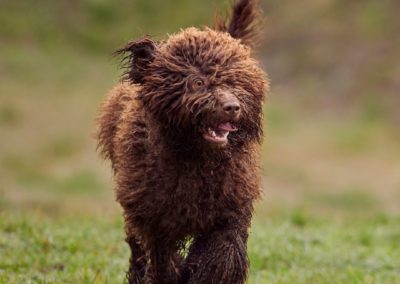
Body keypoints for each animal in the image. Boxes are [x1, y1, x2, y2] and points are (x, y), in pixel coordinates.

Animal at [97, 1, 268, 282]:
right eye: (197, 82)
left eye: (235, 82)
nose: (232, 107)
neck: (196, 160)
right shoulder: (155, 219)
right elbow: (162, 258)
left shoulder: (230, 208)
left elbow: (222, 251)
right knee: (137, 248)